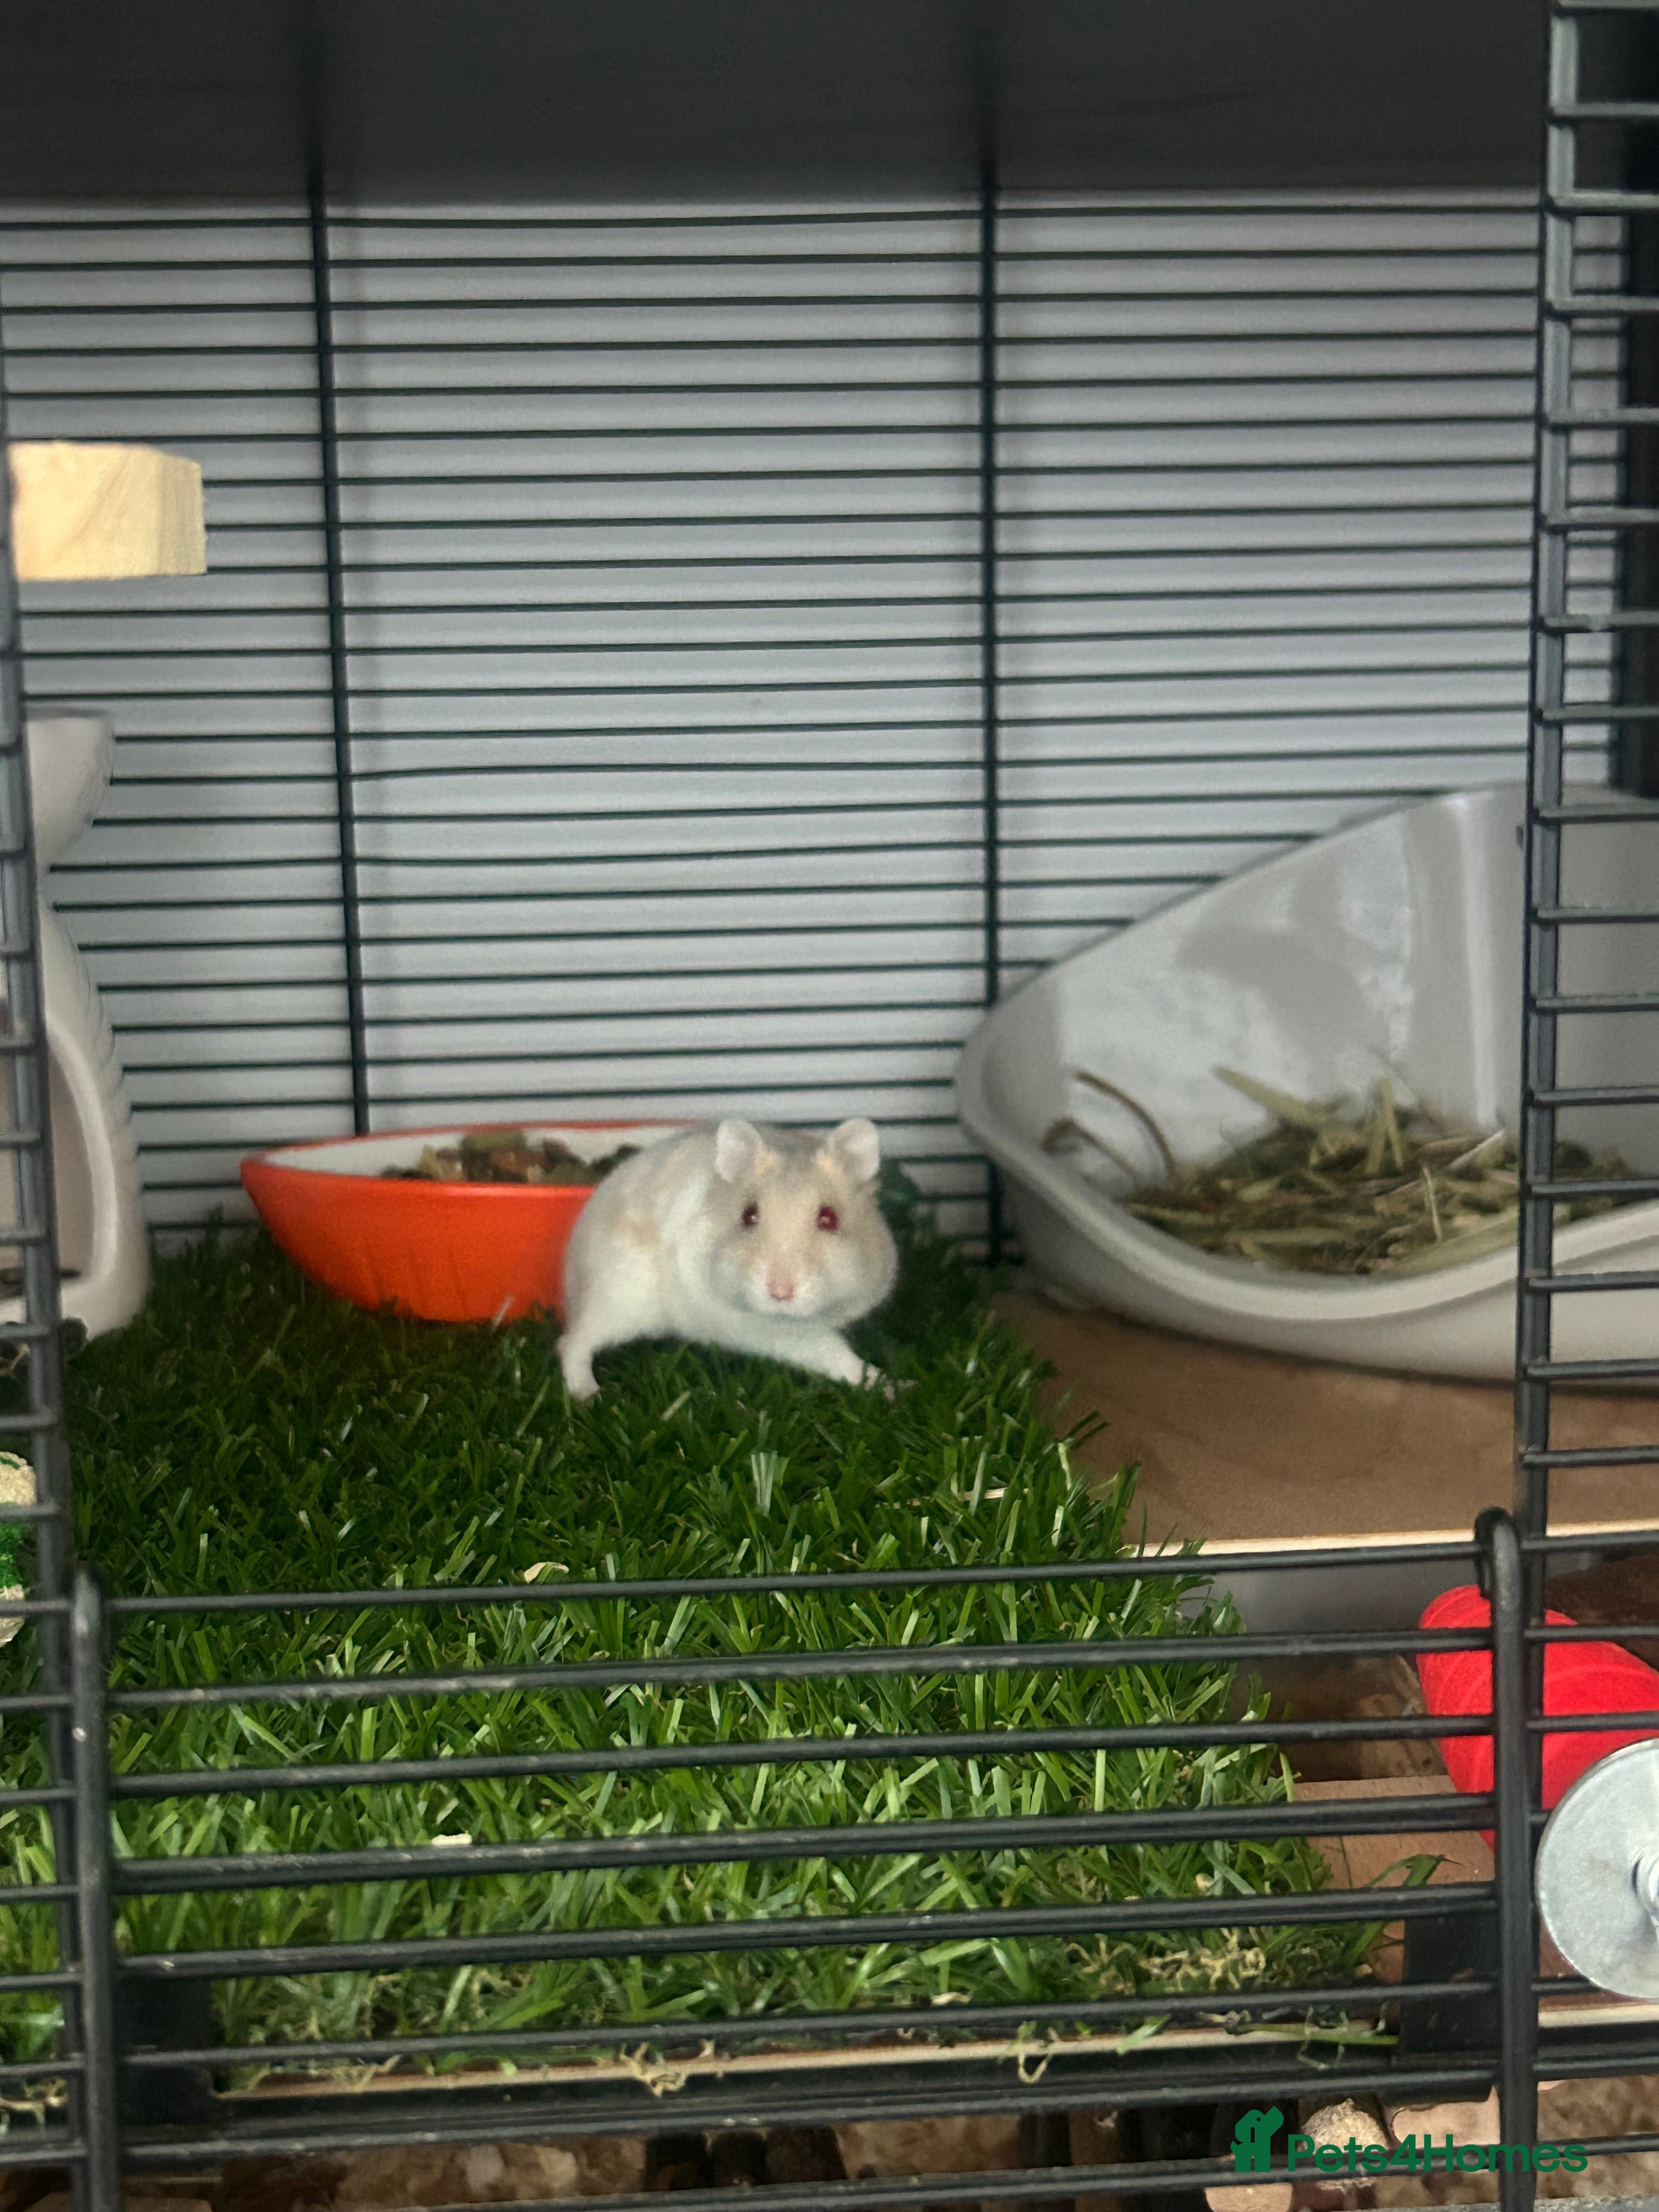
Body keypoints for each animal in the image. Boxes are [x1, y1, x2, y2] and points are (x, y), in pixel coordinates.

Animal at [557, 1117, 900, 1401]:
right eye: (748, 1215)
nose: (780, 1293)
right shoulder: (765, 1330)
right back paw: (588, 1395)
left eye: (829, 1218)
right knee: (572, 1343)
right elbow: (833, 1351)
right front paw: (894, 1389)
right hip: (618, 1301)